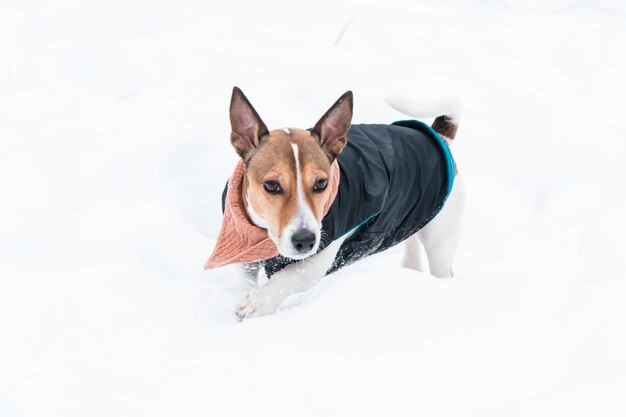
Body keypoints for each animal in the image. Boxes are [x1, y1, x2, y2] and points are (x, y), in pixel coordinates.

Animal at [205, 86, 464, 316]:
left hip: (440, 240)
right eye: (271, 185)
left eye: (321, 183)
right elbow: (246, 277)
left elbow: (286, 278)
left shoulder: (317, 259)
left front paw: (258, 304)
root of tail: (440, 137)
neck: (264, 237)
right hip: (412, 217)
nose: (305, 241)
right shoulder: (244, 258)